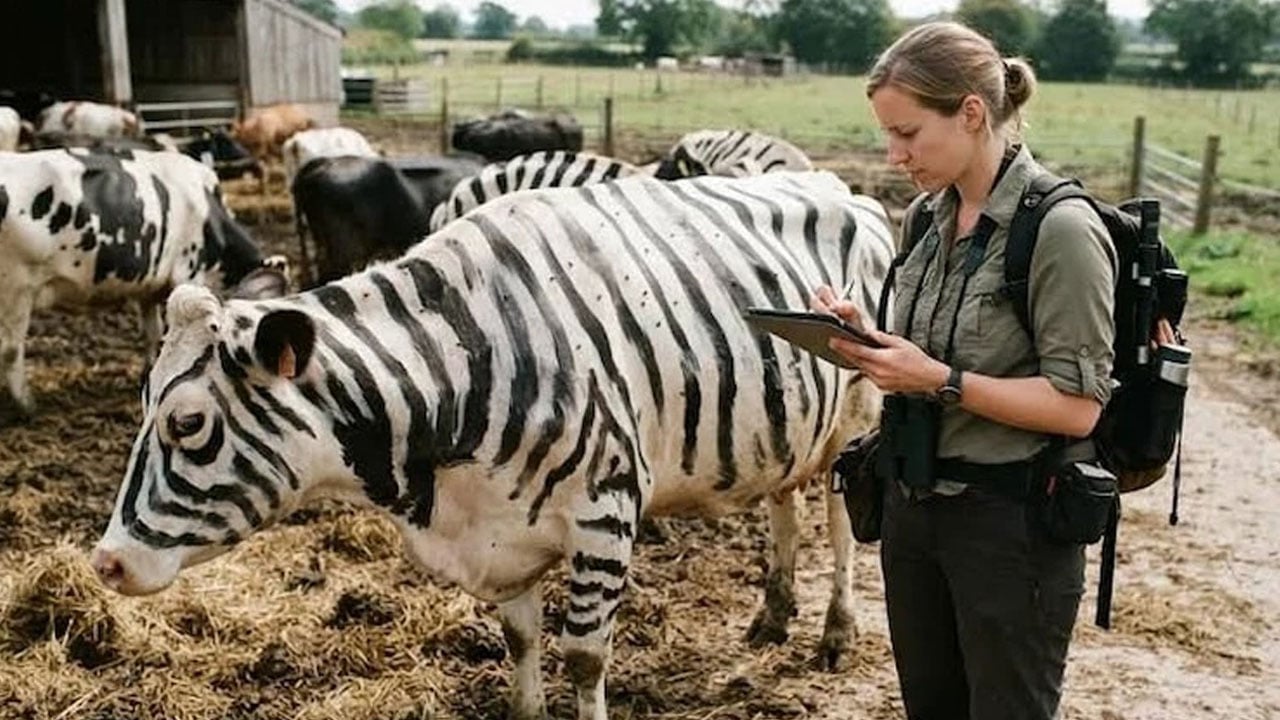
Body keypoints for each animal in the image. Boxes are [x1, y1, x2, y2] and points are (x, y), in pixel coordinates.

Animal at [92, 170, 894, 720]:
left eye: (188, 424)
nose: (106, 564)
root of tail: (839, 185)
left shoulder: (605, 514)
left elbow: (583, 658)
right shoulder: (504, 533)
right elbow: (520, 642)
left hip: (857, 422)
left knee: (840, 528)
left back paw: (834, 633)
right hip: (788, 426)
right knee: (785, 504)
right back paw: (774, 616)